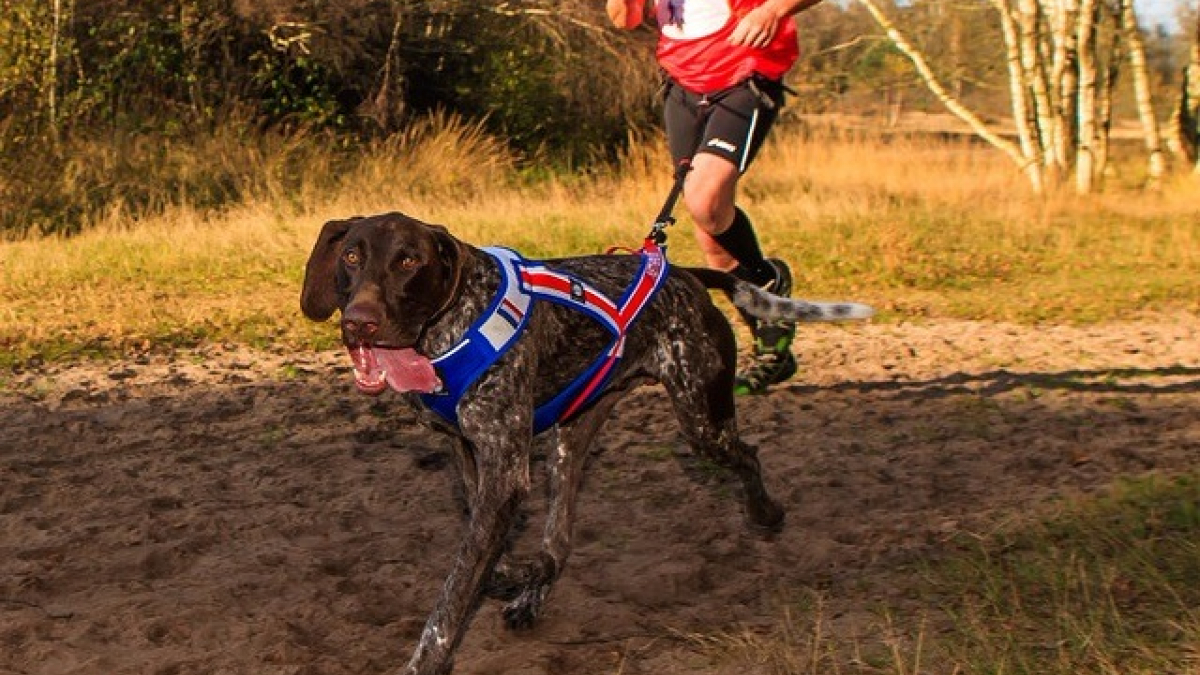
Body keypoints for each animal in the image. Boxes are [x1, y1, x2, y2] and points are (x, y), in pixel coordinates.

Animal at [300, 210, 873, 672]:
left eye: (408, 261)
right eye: (351, 256)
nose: (359, 324)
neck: (449, 330)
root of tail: (684, 275)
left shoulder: (504, 469)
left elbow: (453, 594)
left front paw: (427, 658)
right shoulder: (467, 450)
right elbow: (478, 536)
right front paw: (509, 570)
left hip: (701, 420)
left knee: (747, 454)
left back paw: (765, 513)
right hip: (571, 436)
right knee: (559, 539)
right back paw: (535, 584)